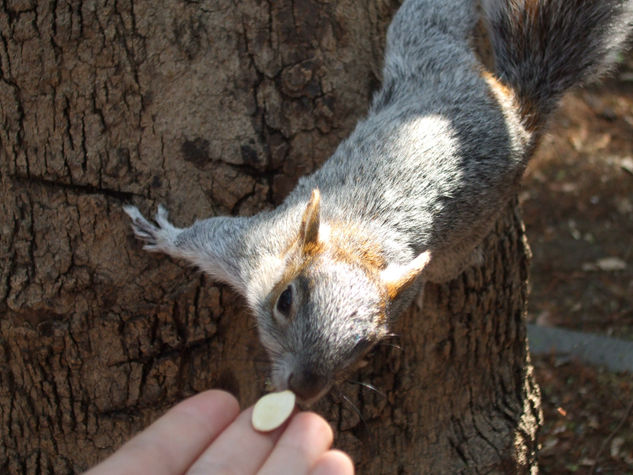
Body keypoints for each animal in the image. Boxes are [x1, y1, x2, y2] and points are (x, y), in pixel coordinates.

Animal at [124, 0, 632, 406]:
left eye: (367, 345)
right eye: (285, 300)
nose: (305, 389)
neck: (358, 247)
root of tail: (517, 113)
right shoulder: (253, 246)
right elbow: (201, 238)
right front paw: (164, 235)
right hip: (425, 50)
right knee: (436, 16)